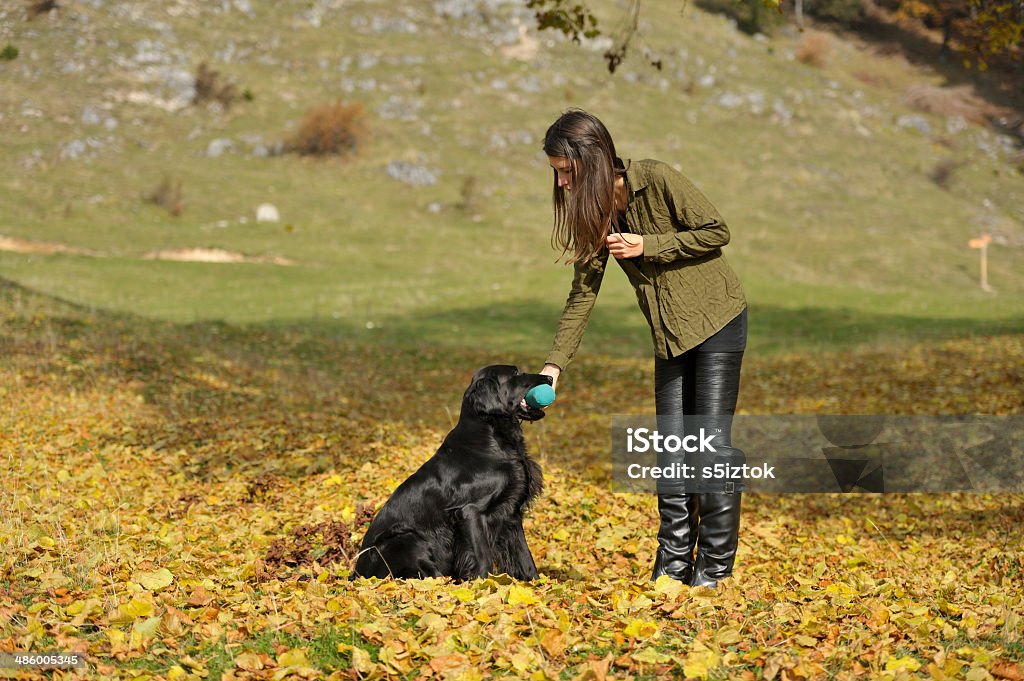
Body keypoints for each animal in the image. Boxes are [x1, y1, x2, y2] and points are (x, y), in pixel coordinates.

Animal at [350, 364, 548, 581]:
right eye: (515, 373)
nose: (549, 378)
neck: (492, 440)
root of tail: (357, 573)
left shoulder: (511, 511)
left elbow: (525, 556)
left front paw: (537, 585)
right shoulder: (471, 511)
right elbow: (482, 557)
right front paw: (482, 585)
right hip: (406, 538)